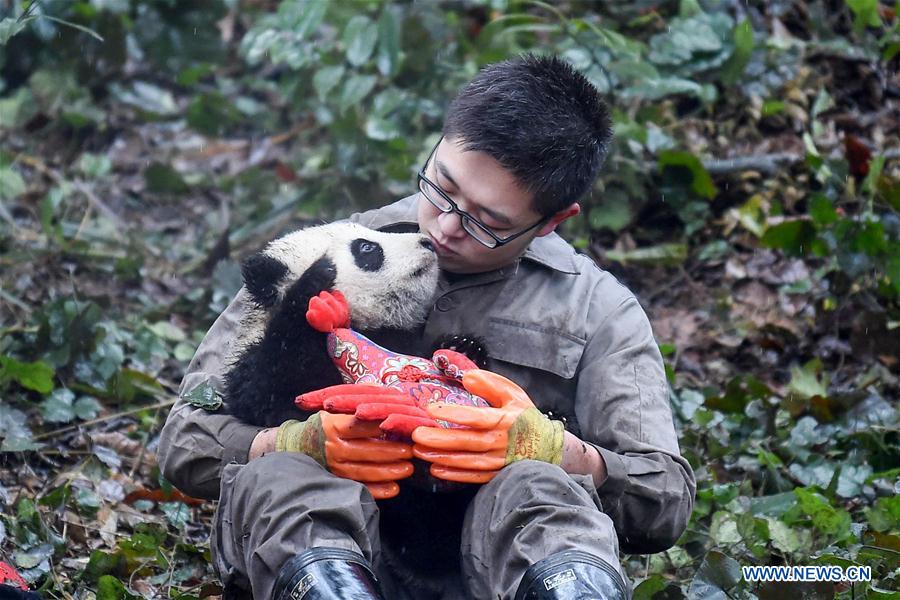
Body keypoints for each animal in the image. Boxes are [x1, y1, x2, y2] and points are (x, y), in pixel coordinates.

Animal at [223, 221, 484, 592]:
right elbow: (275, 392)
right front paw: (314, 284)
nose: (427, 242)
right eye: (367, 248)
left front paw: (463, 349)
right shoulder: (259, 373)